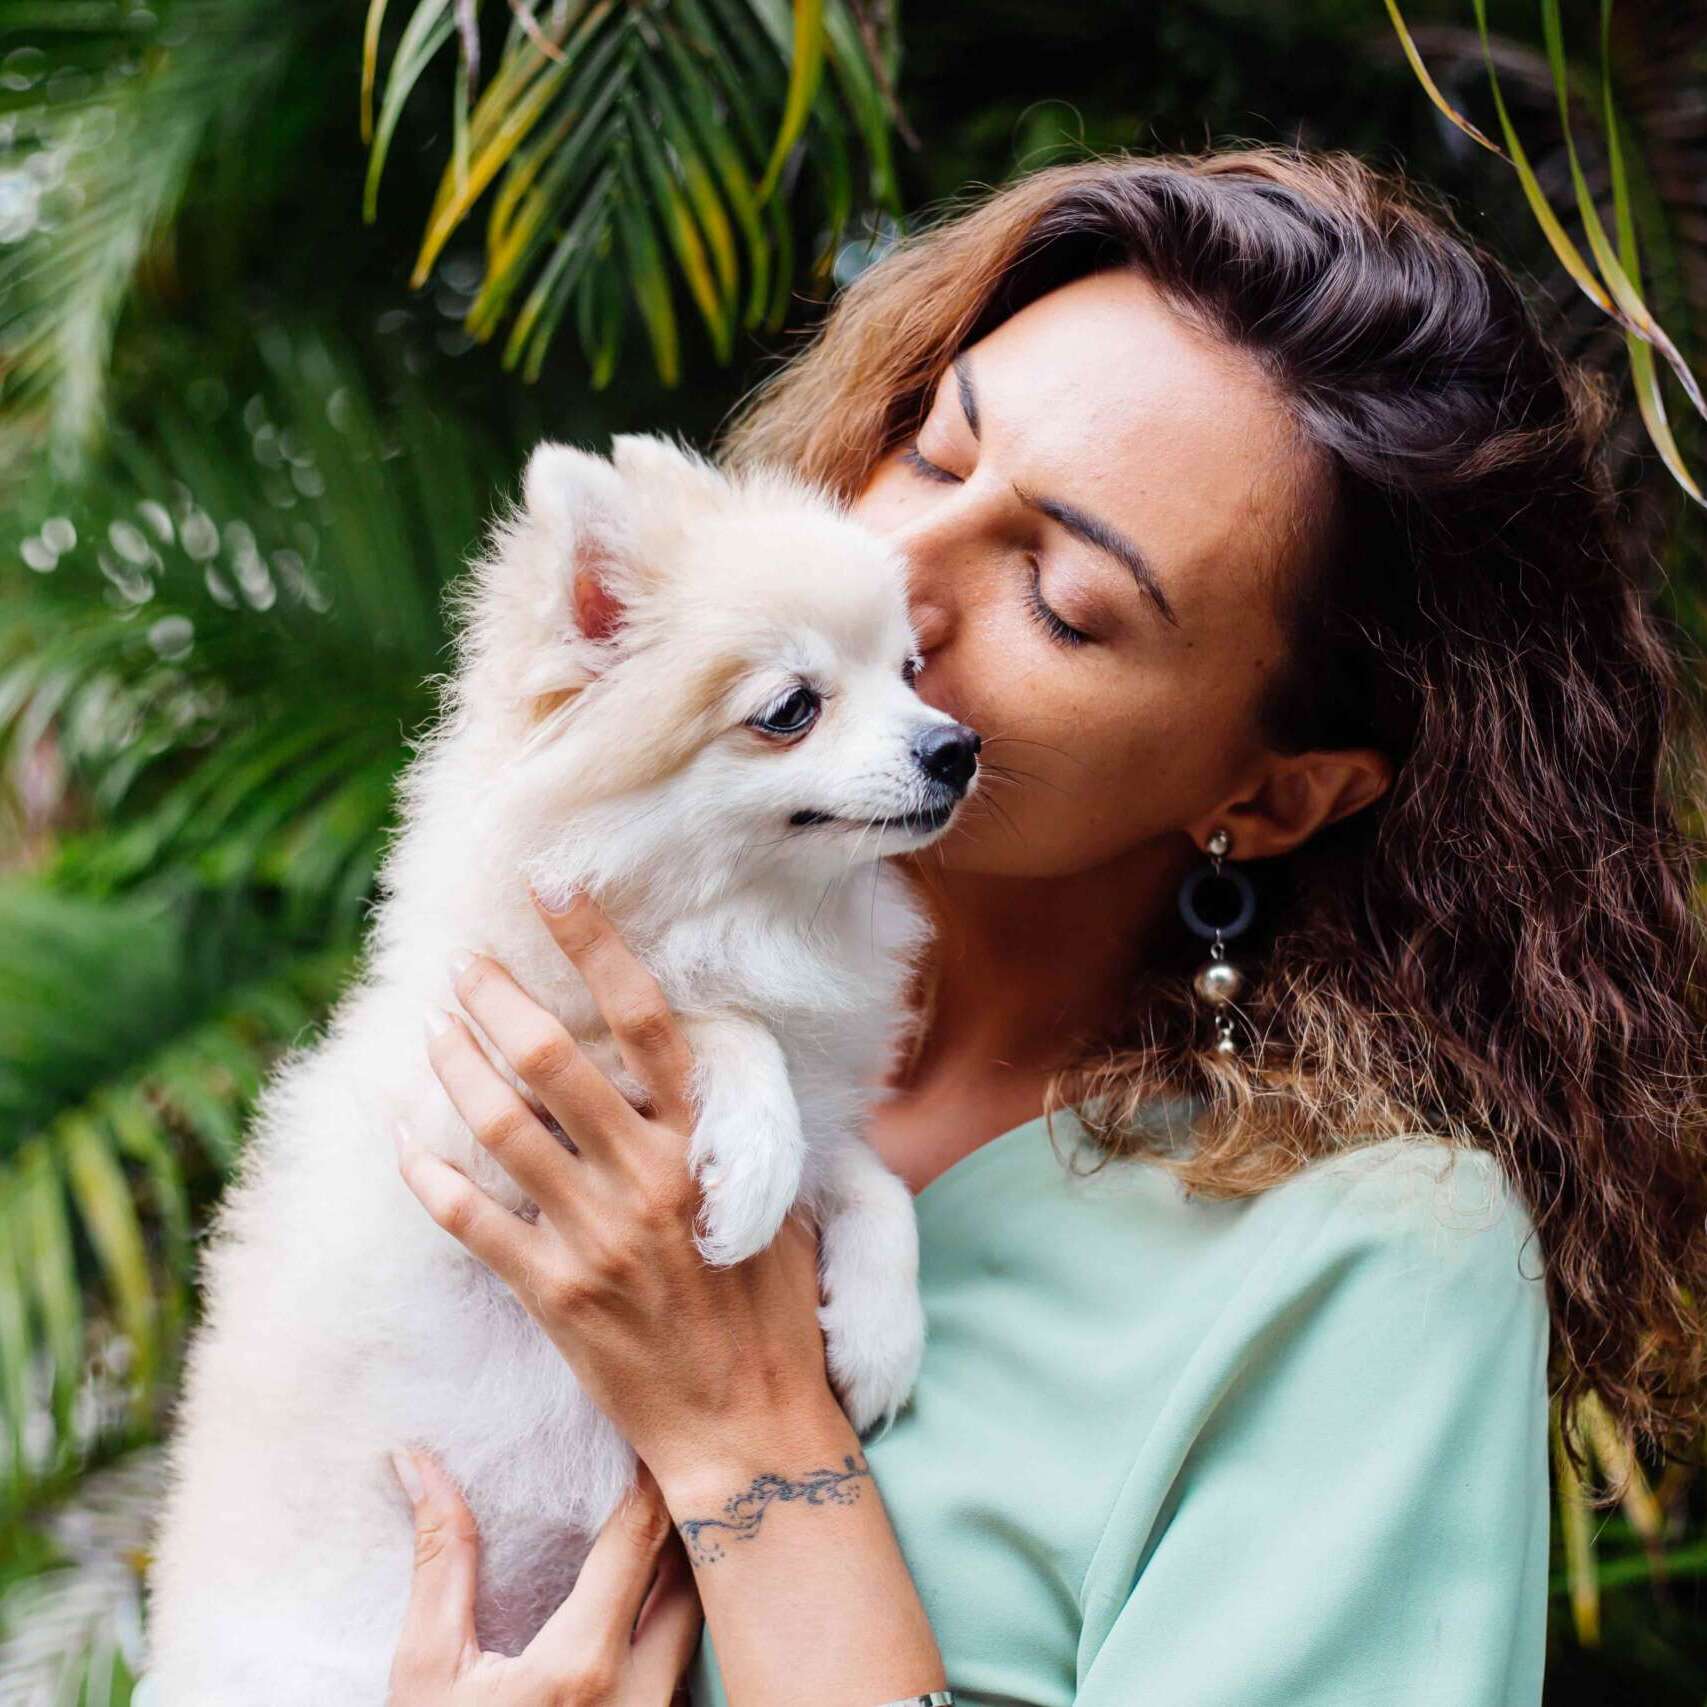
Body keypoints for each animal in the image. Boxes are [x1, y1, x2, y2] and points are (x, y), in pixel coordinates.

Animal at [143, 433, 990, 1700]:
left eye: (911, 670)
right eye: (791, 709)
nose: (956, 744)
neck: (741, 919)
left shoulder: (819, 1106)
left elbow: (869, 1177)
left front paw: (879, 1331)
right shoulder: (472, 1115)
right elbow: (714, 1029)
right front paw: (750, 1164)